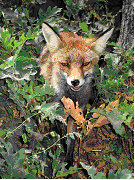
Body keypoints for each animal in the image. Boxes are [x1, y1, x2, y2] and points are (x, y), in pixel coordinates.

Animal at [38, 22, 113, 167]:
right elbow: (61, 134)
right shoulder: (55, 110)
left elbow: (71, 139)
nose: (75, 81)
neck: (71, 98)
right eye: (65, 64)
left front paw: (68, 161)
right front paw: (62, 150)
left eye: (85, 64)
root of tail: (67, 32)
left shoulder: (78, 112)